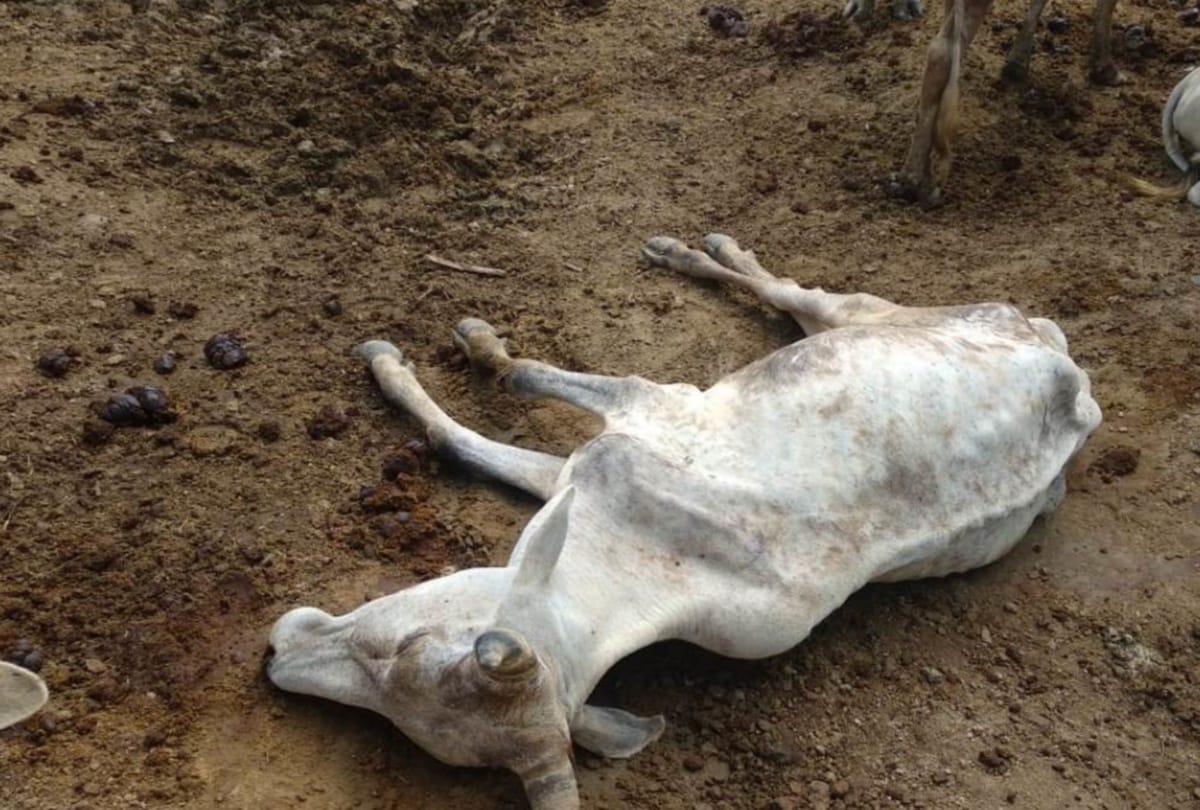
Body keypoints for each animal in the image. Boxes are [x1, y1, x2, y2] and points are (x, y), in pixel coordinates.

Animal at [266, 232, 1102, 810]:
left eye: (407, 651)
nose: (274, 653)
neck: (663, 559)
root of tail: (1069, 368)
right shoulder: (587, 470)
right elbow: (471, 436)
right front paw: (418, 360)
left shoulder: (648, 409)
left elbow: (515, 381)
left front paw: (455, 344)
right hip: (889, 318)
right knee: (794, 297)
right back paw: (697, 249)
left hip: (887, 315)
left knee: (799, 293)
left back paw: (695, 250)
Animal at [875, 0, 1121, 205]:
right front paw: (1104, 67)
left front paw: (1016, 64)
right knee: (943, 55)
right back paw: (917, 181)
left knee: (942, 49)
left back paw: (913, 179)